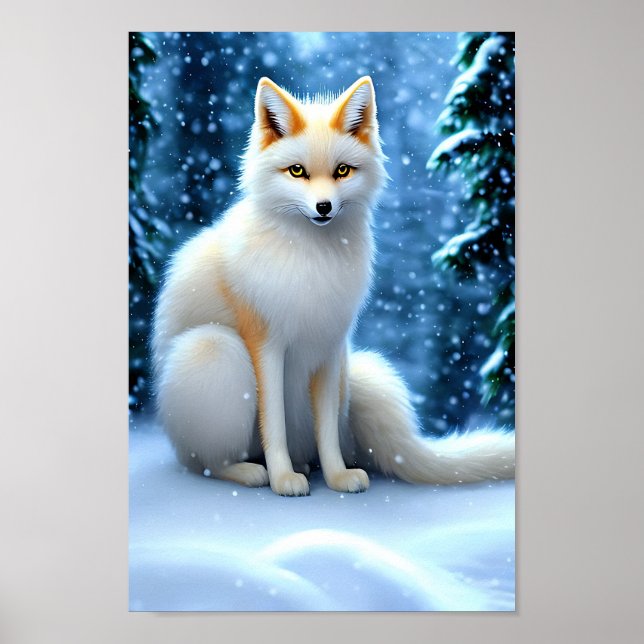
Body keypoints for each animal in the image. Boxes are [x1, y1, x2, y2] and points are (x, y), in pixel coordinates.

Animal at [152, 76, 515, 496]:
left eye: (342, 170)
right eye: (297, 171)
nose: (323, 207)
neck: (313, 261)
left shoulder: (329, 346)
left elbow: (326, 429)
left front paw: (337, 476)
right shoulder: (265, 344)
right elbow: (272, 422)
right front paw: (283, 480)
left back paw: (304, 464)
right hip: (213, 350)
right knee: (206, 464)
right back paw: (251, 472)